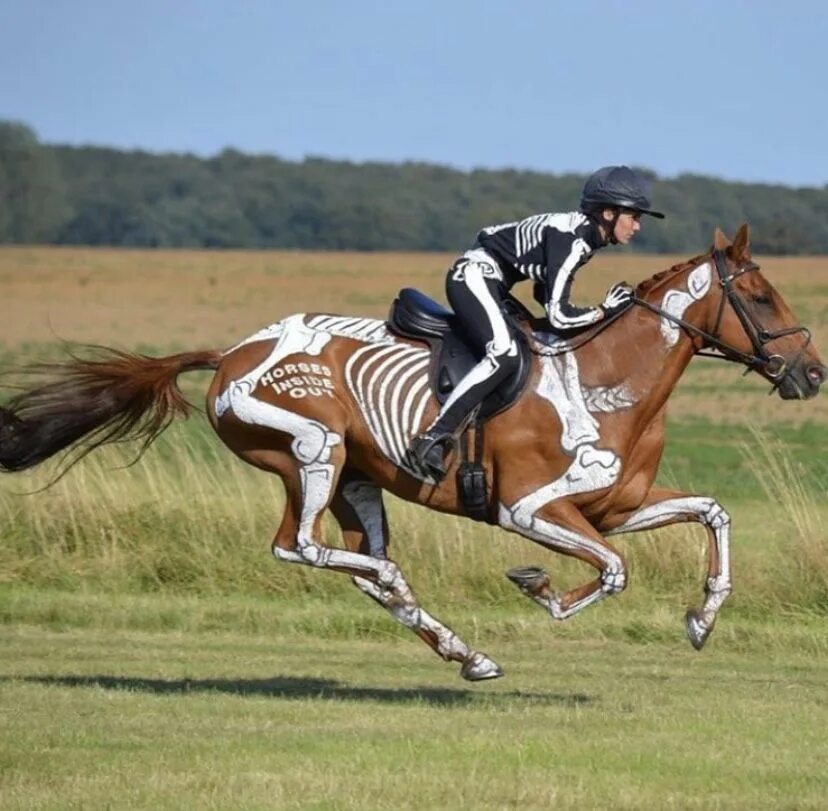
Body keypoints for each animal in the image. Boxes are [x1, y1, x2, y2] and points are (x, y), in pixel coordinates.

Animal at [3, 225, 824, 680]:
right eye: (762, 298)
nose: (811, 372)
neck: (603, 381)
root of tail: (232, 352)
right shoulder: (529, 510)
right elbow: (613, 571)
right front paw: (542, 590)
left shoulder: (613, 506)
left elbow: (710, 514)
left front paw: (702, 620)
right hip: (314, 449)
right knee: (299, 546)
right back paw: (422, 602)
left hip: (356, 480)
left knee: (361, 566)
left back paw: (465, 652)